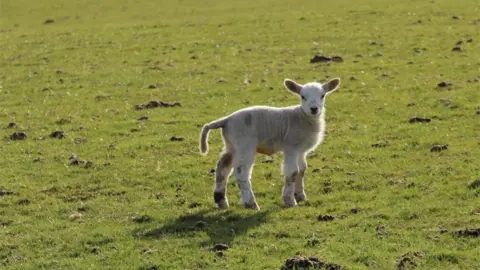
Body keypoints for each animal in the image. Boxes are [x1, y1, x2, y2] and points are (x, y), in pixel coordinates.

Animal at [199, 77, 342, 210]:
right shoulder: (291, 146)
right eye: (303, 96)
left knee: (222, 169)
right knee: (241, 173)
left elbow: (302, 170)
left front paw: (300, 196)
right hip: (245, 145)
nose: (314, 109)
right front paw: (290, 200)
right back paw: (251, 204)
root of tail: (226, 120)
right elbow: (292, 172)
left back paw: (221, 201)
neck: (301, 118)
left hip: (231, 145)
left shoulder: (301, 150)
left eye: (322, 95)